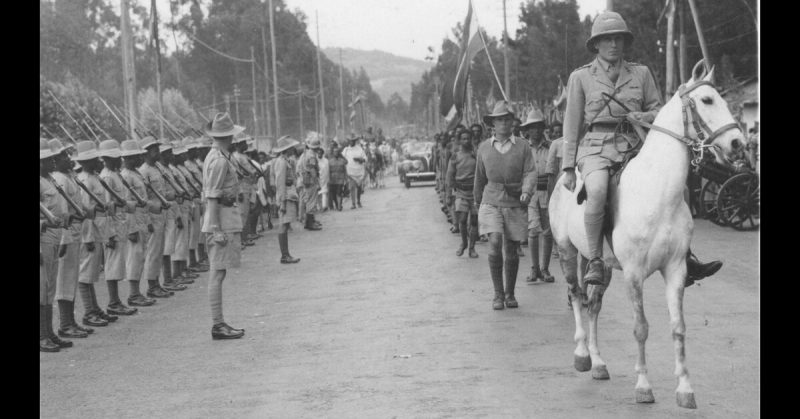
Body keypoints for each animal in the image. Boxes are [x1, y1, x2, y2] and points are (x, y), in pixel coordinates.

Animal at [552, 62, 744, 410]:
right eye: (707, 99)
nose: (739, 143)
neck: (657, 191)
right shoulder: (634, 273)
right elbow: (640, 328)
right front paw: (643, 386)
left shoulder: (676, 269)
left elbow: (678, 328)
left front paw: (685, 389)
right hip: (566, 250)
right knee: (575, 296)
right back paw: (582, 354)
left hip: (600, 263)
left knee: (593, 303)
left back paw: (599, 362)